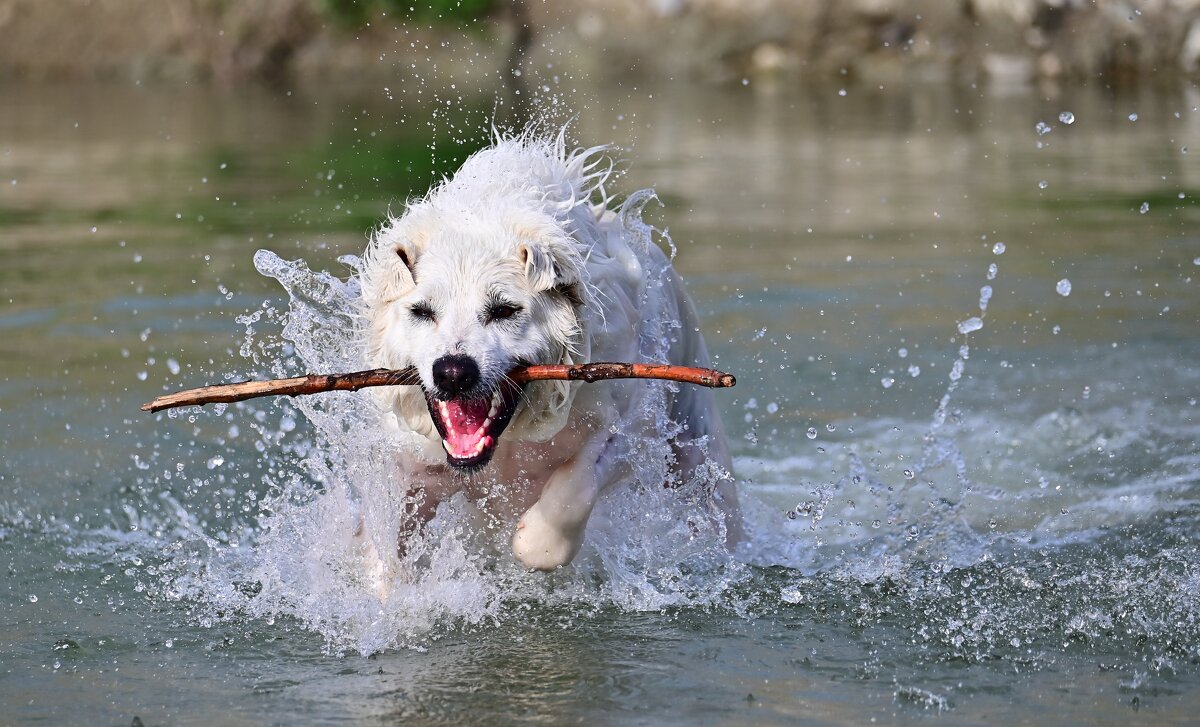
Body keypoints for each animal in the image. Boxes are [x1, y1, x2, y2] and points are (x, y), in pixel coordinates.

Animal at [355, 132, 734, 575]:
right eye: (421, 311)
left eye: (504, 310)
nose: (453, 372)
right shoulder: (413, 458)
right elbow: (384, 543)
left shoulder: (635, 424)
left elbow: (573, 489)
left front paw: (535, 541)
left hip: (698, 452)